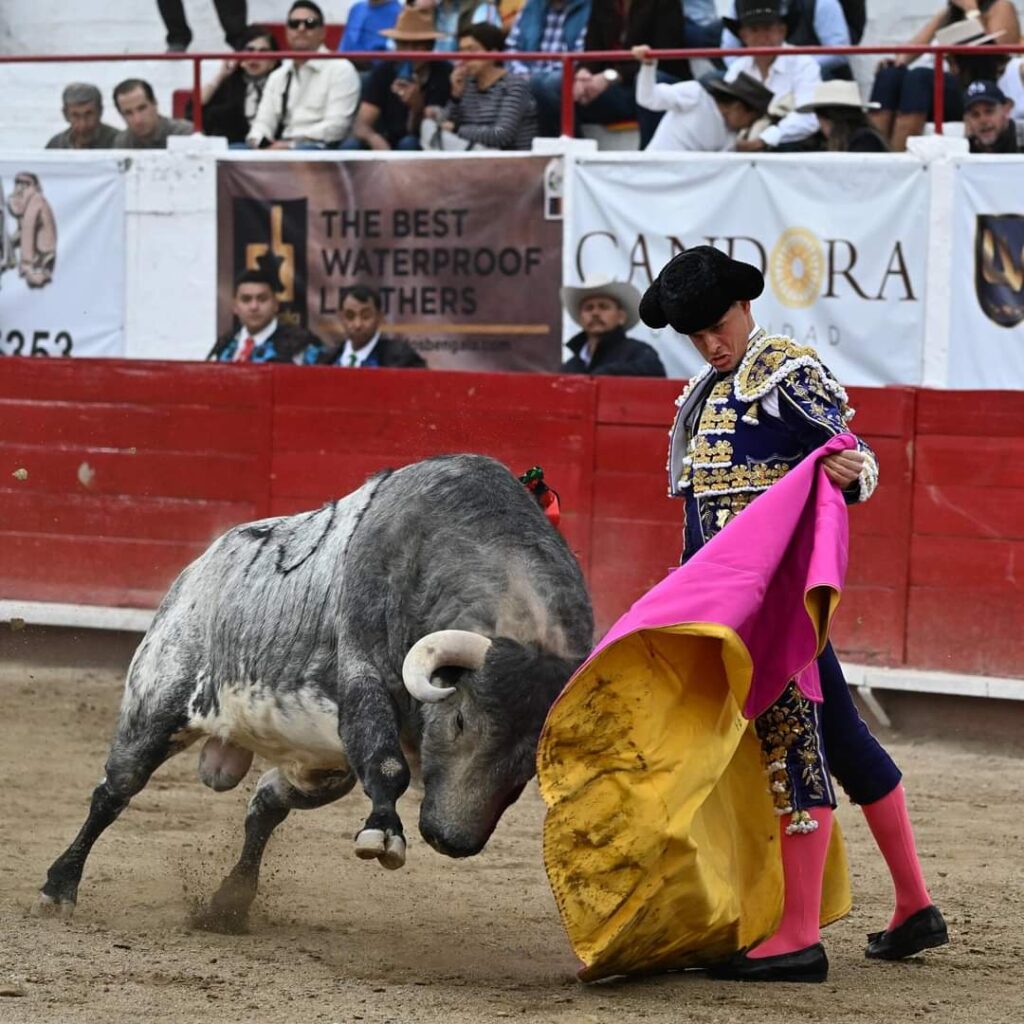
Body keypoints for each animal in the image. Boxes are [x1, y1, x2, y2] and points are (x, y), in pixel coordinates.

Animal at [36, 452, 593, 933]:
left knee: (266, 803)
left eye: (531, 761)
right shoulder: (362, 670)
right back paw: (58, 889)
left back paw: (227, 905)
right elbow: (388, 765)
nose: (449, 839)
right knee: (115, 790)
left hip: (323, 765)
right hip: (158, 702)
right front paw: (383, 834)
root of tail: (201, 565)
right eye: (459, 721)